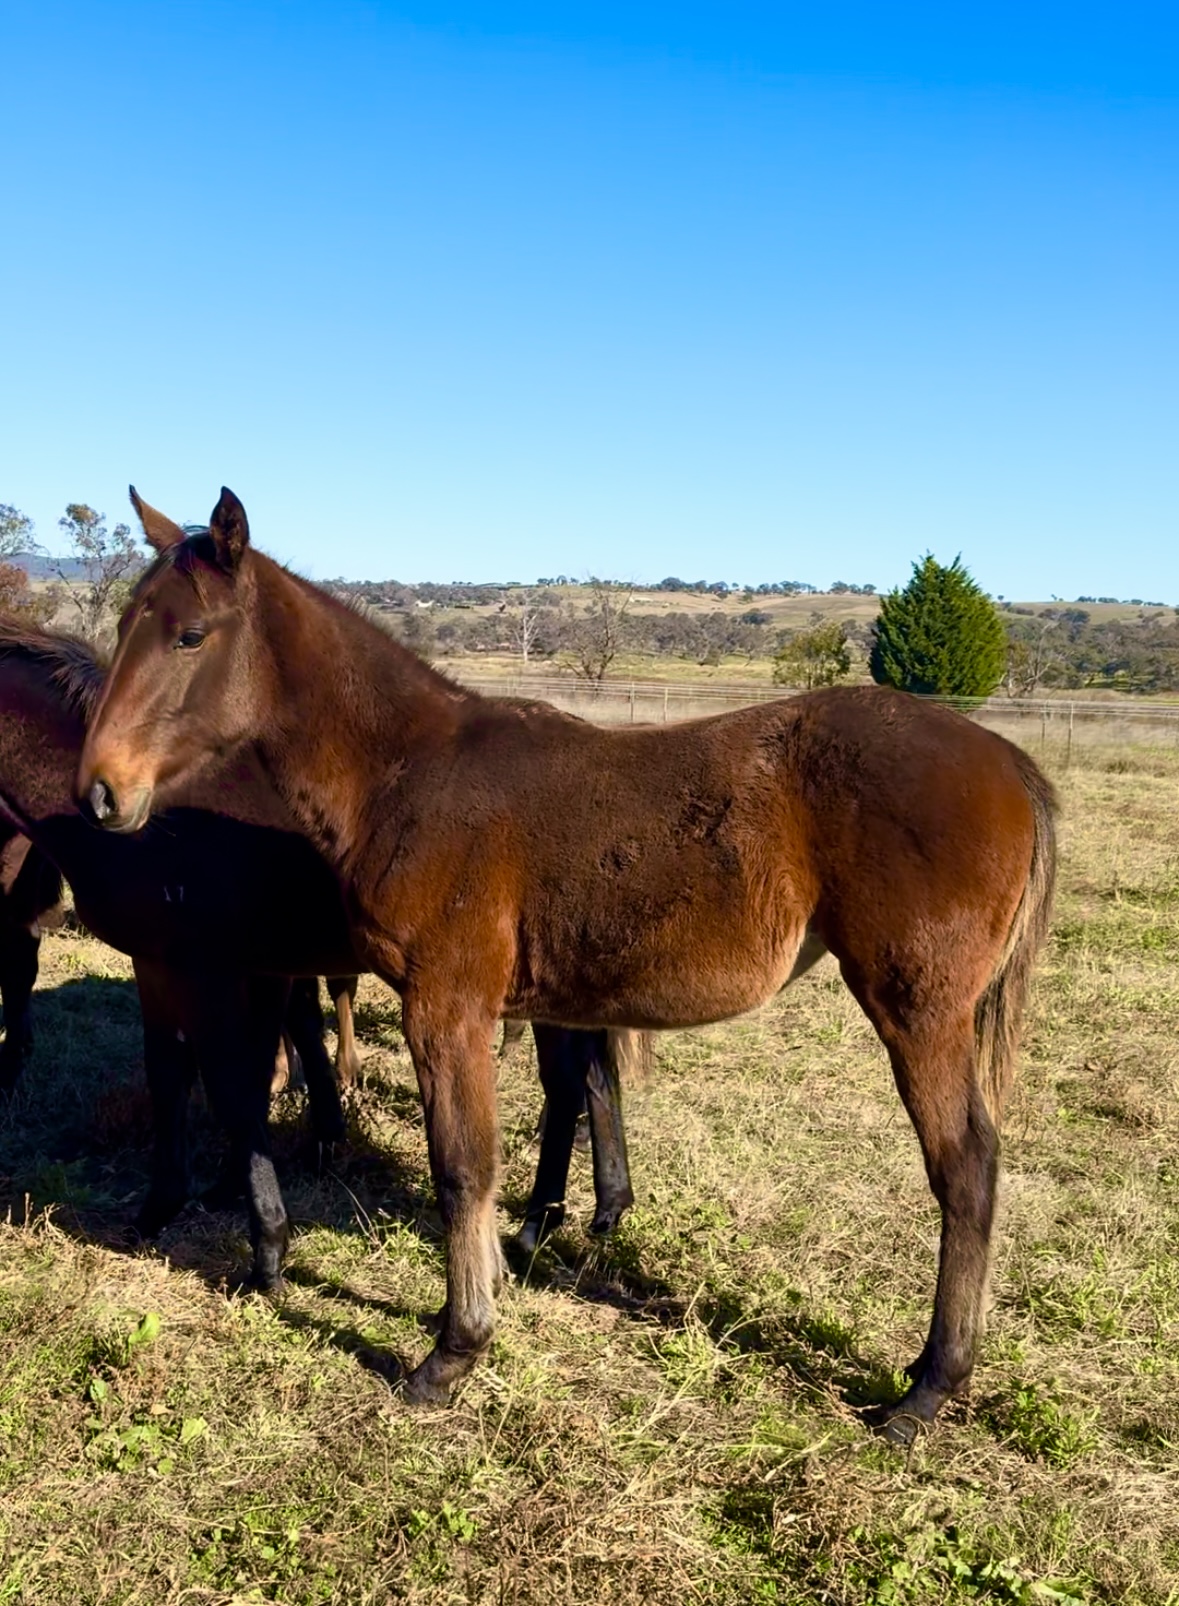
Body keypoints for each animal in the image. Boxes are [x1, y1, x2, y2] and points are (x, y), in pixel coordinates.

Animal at [0, 617, 636, 1280]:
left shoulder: (193, 968)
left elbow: (214, 1081)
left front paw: (244, 1237)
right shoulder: (222, 967)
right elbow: (219, 1071)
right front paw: (208, 1194)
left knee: (565, 1083)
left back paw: (540, 1223)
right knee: (592, 1076)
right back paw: (604, 1206)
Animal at [79, 488, 1057, 1443]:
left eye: (190, 635)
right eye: (127, 622)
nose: (101, 792)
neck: (406, 772)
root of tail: (1008, 759)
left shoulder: (447, 1007)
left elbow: (462, 1168)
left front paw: (453, 1351)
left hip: (916, 1009)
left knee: (965, 1170)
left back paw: (927, 1390)